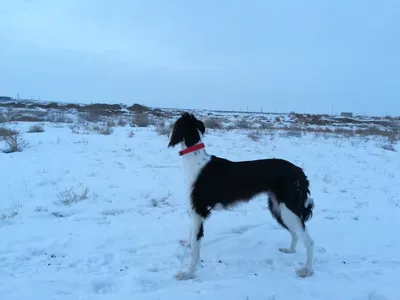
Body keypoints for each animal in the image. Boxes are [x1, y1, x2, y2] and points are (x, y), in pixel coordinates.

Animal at [167, 112, 314, 278]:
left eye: (175, 124)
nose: (168, 133)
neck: (196, 160)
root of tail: (300, 173)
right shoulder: (194, 211)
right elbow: (192, 236)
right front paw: (187, 245)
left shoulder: (199, 210)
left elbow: (195, 247)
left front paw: (188, 272)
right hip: (278, 207)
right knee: (295, 233)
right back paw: (290, 250)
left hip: (288, 209)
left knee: (308, 240)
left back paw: (307, 270)